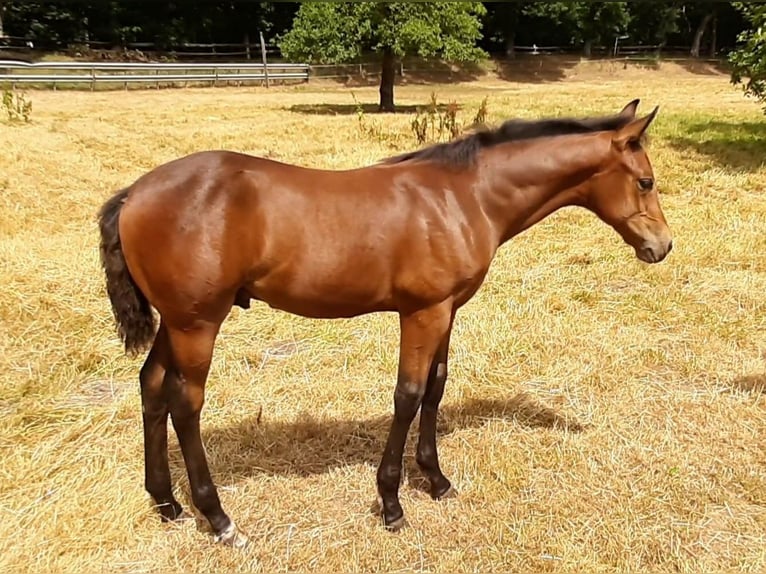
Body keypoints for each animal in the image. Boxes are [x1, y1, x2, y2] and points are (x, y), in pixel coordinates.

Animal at [98, 99, 672, 547]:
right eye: (645, 181)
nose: (661, 247)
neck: (462, 197)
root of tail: (133, 194)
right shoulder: (422, 312)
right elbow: (408, 395)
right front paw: (392, 502)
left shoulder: (447, 309)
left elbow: (436, 387)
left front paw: (436, 480)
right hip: (197, 323)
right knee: (185, 403)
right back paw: (218, 519)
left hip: (175, 323)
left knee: (151, 386)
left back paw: (166, 503)